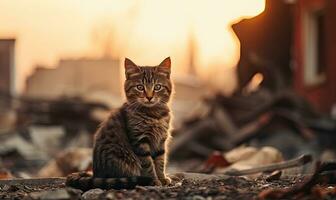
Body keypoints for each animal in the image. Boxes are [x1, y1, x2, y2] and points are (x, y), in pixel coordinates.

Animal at [67, 56, 175, 191]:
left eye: (157, 87)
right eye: (140, 87)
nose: (149, 97)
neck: (154, 115)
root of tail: (96, 175)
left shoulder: (161, 141)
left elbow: (160, 161)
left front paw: (162, 178)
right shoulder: (140, 140)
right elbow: (148, 163)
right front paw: (154, 180)